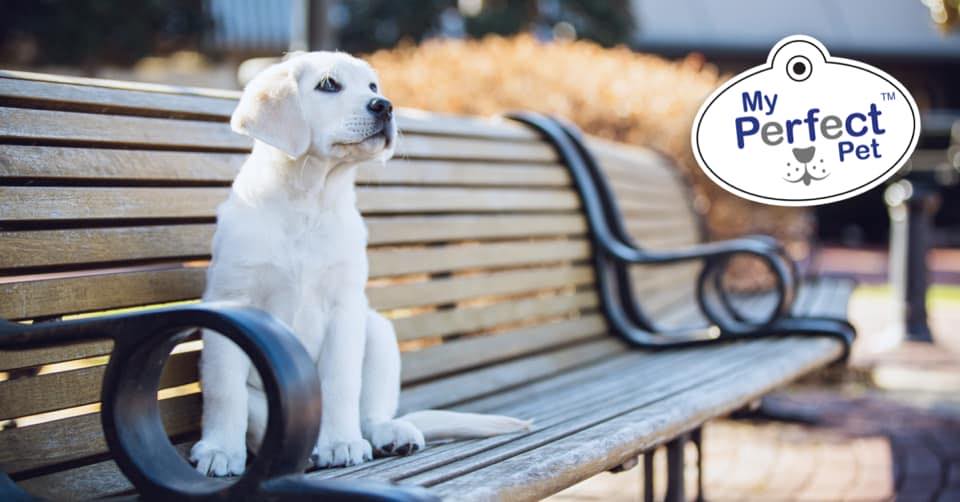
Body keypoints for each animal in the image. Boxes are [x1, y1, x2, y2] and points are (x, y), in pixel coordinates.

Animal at [190, 52, 528, 478]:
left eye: (372, 87)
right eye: (328, 84)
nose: (385, 106)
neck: (309, 200)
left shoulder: (345, 307)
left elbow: (341, 383)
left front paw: (340, 442)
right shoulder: (231, 303)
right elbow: (226, 390)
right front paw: (219, 448)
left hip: (378, 329)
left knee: (370, 413)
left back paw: (387, 433)